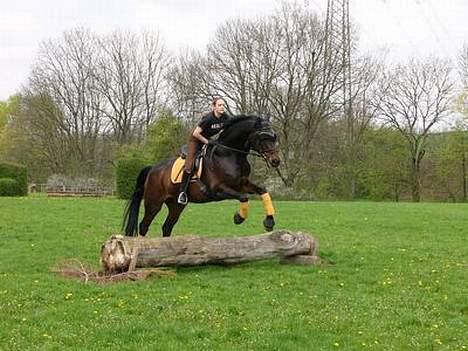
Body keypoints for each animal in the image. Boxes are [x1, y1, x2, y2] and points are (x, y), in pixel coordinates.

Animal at [122, 114, 280, 238]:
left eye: (274, 136)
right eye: (263, 137)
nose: (276, 161)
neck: (230, 154)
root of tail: (153, 168)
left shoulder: (242, 183)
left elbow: (263, 191)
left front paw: (269, 222)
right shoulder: (218, 189)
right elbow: (243, 197)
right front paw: (238, 217)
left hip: (176, 205)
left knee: (167, 227)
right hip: (154, 202)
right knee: (144, 225)